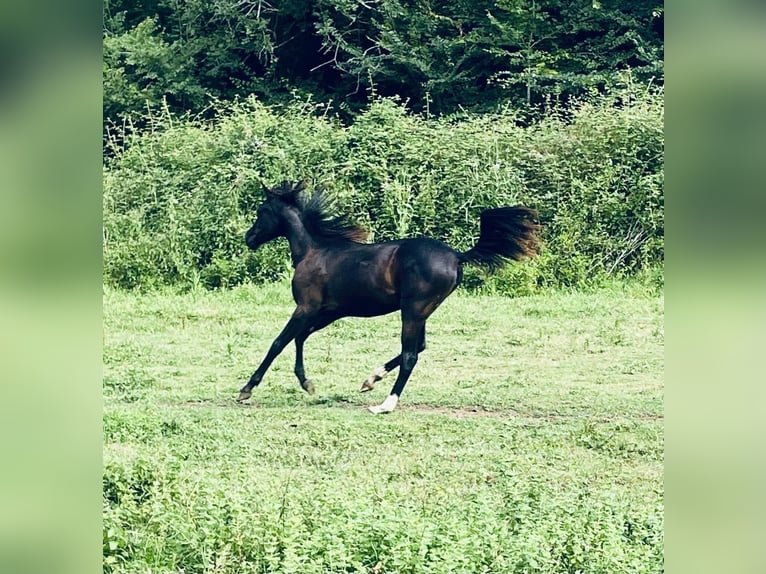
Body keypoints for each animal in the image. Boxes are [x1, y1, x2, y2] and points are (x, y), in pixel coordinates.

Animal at [237, 182, 544, 412]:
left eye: (262, 210)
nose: (249, 238)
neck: (314, 251)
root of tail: (457, 256)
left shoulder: (306, 307)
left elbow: (279, 342)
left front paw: (247, 389)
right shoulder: (328, 311)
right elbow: (300, 338)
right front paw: (307, 383)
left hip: (413, 310)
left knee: (411, 355)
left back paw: (385, 404)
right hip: (421, 312)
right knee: (420, 347)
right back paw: (370, 380)